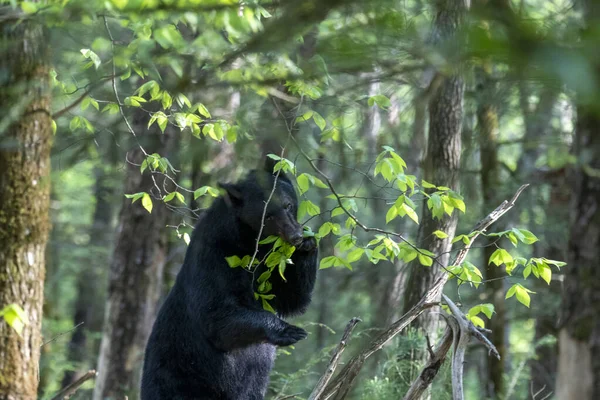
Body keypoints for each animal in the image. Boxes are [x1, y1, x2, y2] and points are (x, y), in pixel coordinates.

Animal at [142, 159, 318, 400]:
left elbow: (290, 297)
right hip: (180, 380)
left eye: (288, 205)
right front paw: (289, 331)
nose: (295, 236)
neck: (250, 241)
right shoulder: (217, 254)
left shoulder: (267, 265)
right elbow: (216, 313)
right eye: (267, 216)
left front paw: (308, 244)